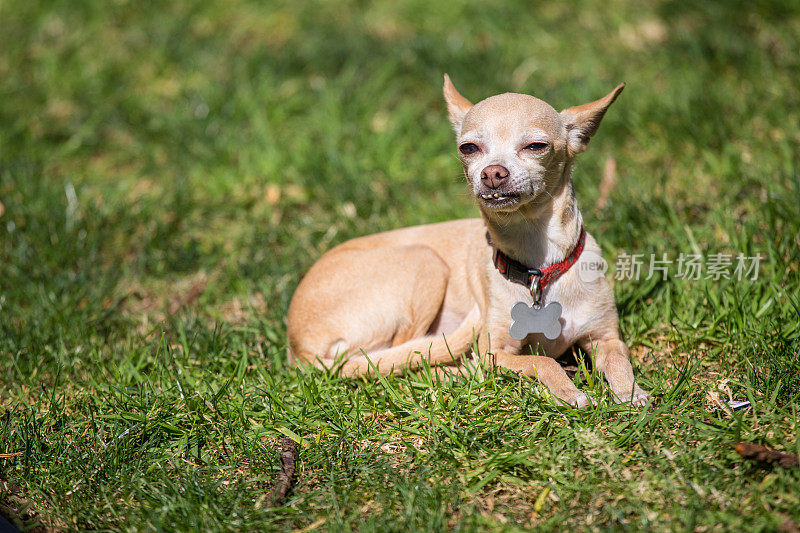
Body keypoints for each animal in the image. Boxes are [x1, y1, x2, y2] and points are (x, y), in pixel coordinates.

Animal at [288, 75, 648, 408]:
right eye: (468, 148)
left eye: (536, 146)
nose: (492, 173)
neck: (539, 266)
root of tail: (298, 346)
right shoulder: (497, 353)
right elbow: (541, 360)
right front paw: (568, 391)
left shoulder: (606, 338)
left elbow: (620, 363)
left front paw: (631, 393)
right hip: (426, 262)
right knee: (399, 358)